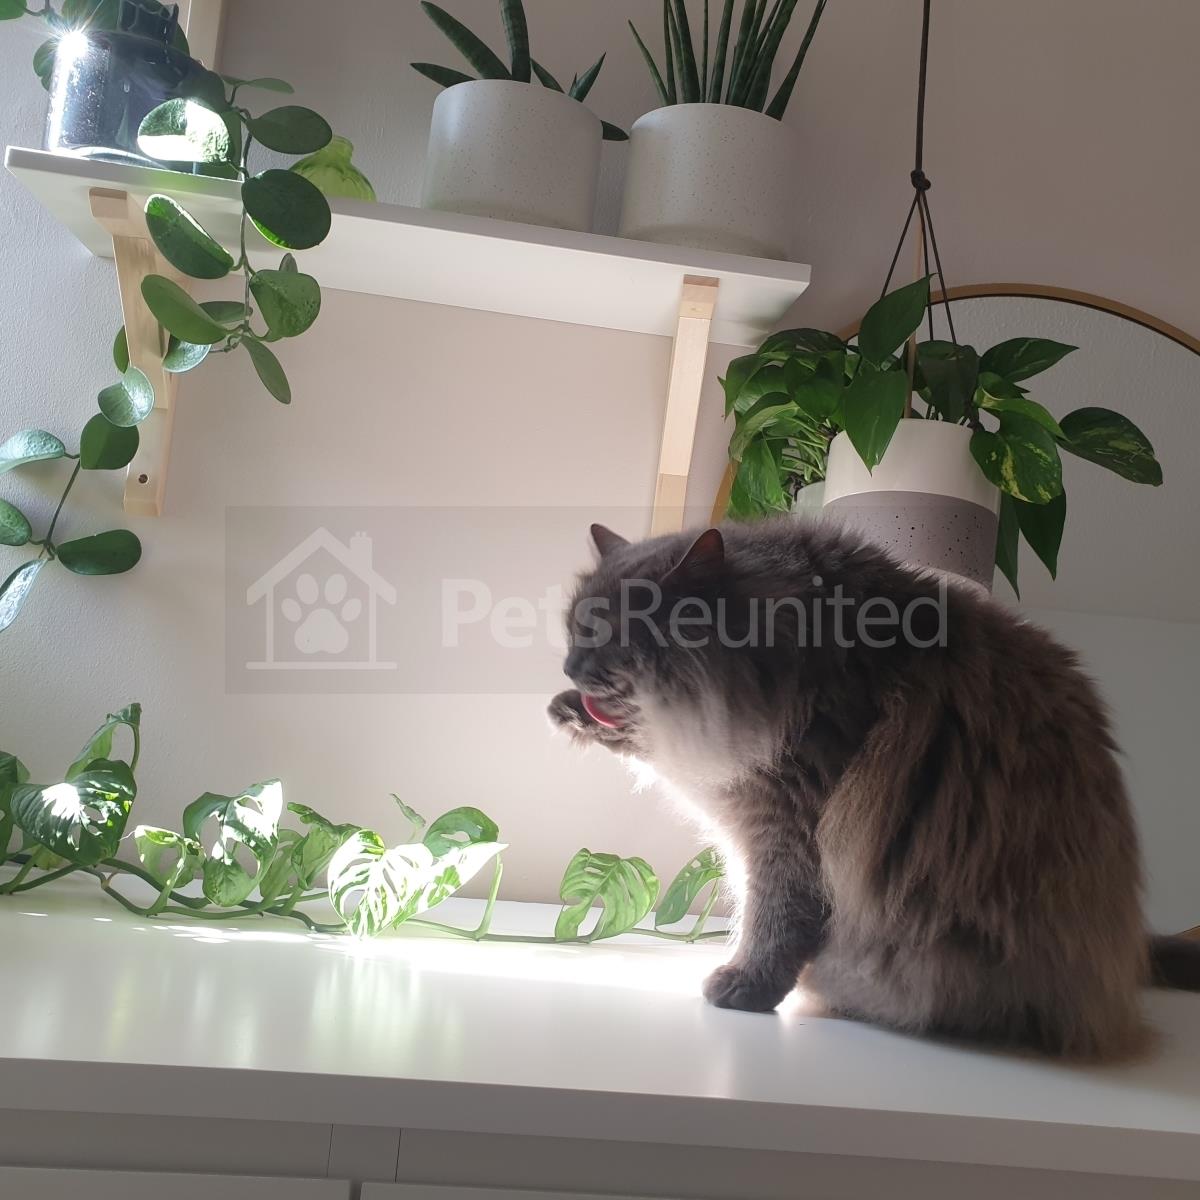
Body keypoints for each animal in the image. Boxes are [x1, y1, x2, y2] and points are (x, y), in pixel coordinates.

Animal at [548, 517, 1200, 1060]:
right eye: (575, 629)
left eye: (612, 635)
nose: (570, 668)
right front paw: (568, 711)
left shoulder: (789, 827)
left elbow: (775, 920)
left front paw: (745, 988)